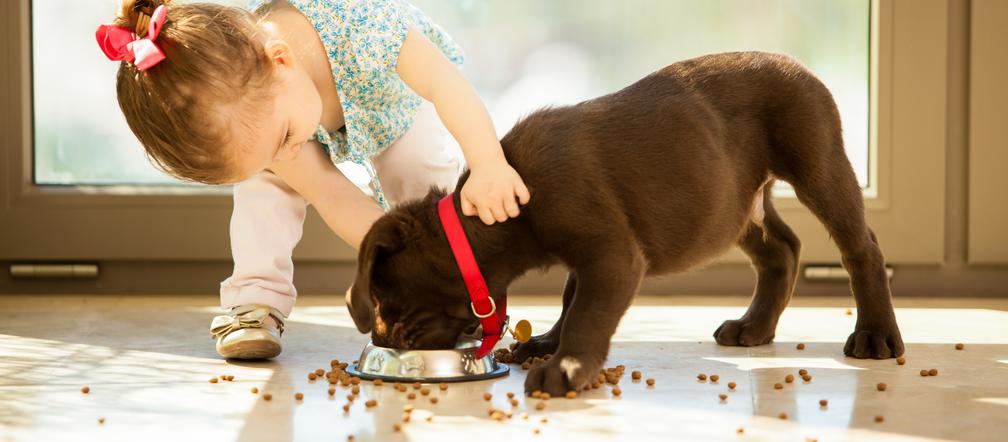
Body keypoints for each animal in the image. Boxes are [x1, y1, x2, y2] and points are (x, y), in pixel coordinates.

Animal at [346, 52, 907, 397]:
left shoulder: (610, 253)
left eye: (387, 304)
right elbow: (571, 299)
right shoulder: (591, 254)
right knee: (782, 248)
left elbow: (588, 311)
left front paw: (565, 367)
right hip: (731, 204)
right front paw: (547, 344)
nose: (385, 340)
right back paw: (754, 327)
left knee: (861, 247)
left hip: (818, 162)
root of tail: (797, 64)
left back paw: (875, 335)